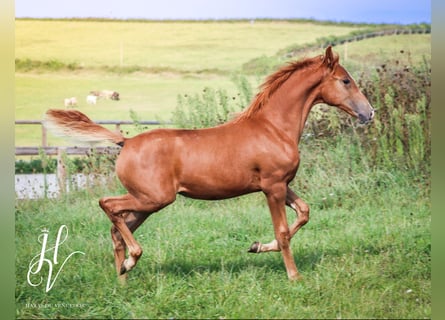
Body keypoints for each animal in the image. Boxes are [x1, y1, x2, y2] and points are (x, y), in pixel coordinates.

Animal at [44, 47, 372, 280]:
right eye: (345, 80)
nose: (369, 113)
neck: (273, 128)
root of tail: (126, 142)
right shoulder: (273, 187)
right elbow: (282, 231)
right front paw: (294, 276)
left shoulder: (280, 185)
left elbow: (303, 213)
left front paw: (256, 246)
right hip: (154, 198)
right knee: (108, 205)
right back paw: (131, 260)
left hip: (146, 203)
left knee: (117, 228)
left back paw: (123, 274)